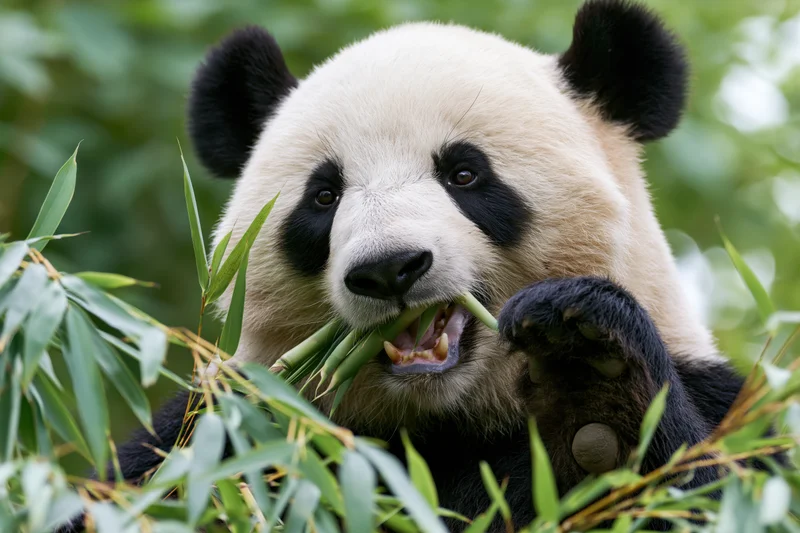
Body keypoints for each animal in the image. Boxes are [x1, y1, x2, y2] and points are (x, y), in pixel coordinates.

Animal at [77, 0, 750, 531]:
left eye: (464, 173)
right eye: (324, 196)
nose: (389, 268)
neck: (444, 421)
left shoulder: (714, 392)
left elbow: (717, 483)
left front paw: (592, 375)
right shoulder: (226, 427)